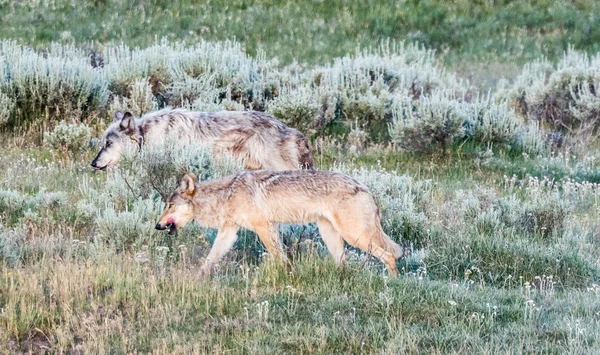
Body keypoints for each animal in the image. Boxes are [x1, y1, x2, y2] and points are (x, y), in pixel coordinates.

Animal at [155, 171, 404, 276]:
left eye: (169, 205)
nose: (157, 226)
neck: (225, 195)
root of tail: (365, 188)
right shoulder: (229, 232)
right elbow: (209, 259)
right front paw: (197, 279)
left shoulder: (264, 227)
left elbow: (279, 256)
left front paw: (289, 275)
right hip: (331, 235)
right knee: (344, 263)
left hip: (354, 236)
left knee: (390, 256)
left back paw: (392, 282)